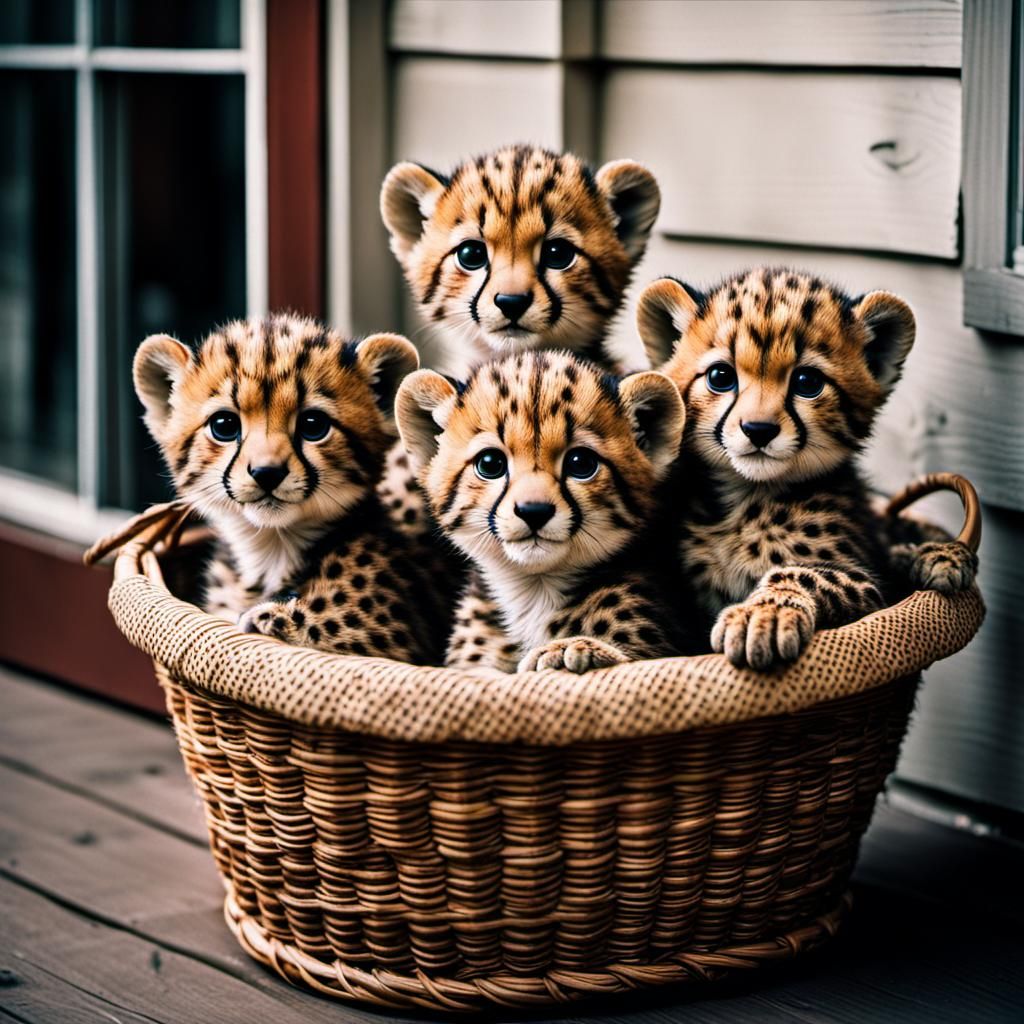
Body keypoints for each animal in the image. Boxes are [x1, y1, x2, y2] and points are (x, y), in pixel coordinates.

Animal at [636, 267, 977, 670]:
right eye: (720, 377)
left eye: (807, 382)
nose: (758, 429)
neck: (746, 498)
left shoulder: (868, 588)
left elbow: (807, 573)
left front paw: (763, 614)